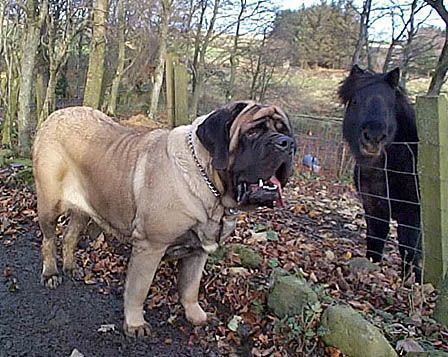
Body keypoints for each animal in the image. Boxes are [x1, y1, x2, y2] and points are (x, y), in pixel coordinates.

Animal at [32, 101, 298, 336]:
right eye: (253, 132)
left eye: (285, 131)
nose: (287, 143)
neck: (210, 185)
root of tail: (54, 116)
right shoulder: (150, 247)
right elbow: (139, 289)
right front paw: (135, 324)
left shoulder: (199, 251)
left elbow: (191, 287)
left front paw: (195, 315)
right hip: (49, 205)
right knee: (48, 240)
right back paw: (51, 273)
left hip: (85, 208)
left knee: (70, 235)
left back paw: (71, 267)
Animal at [342, 64, 422, 280]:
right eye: (355, 101)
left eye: (389, 104)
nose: (374, 137)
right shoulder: (374, 208)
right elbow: (375, 241)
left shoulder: (412, 214)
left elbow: (410, 250)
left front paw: (412, 282)